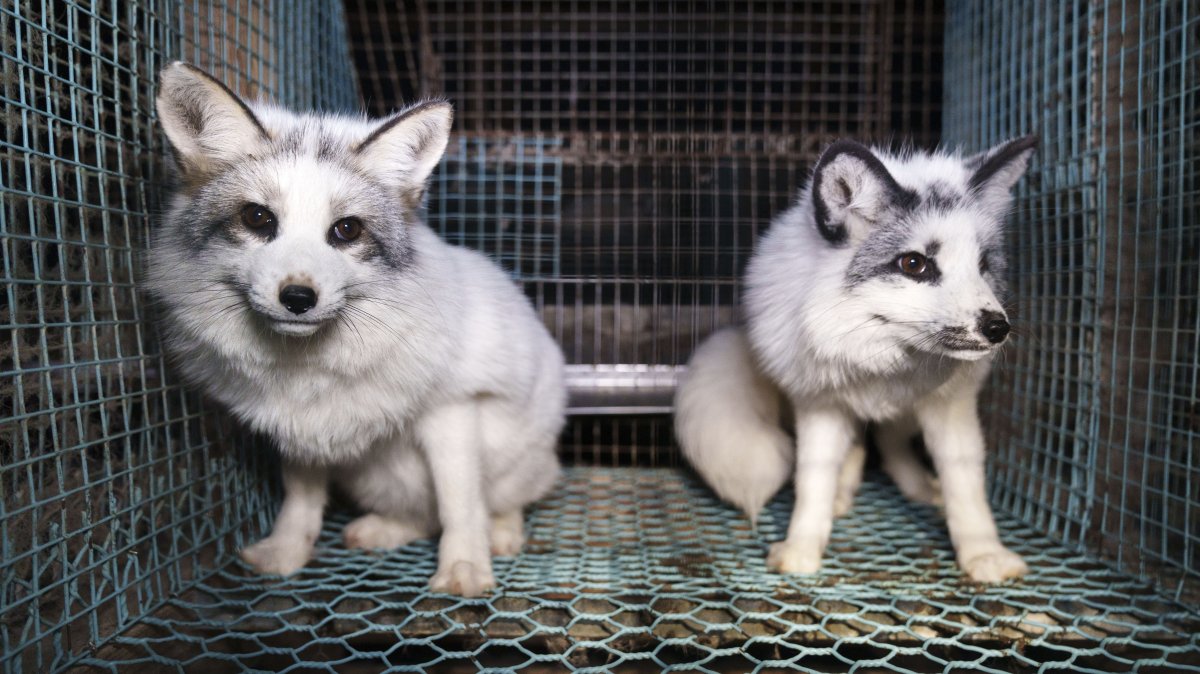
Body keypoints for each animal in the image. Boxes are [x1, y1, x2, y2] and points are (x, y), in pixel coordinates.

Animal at [145, 61, 566, 592]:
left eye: (346, 229)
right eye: (257, 218)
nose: (298, 298)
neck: (308, 365)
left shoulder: (453, 411)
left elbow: (460, 504)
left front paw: (464, 567)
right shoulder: (300, 430)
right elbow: (301, 501)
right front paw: (288, 551)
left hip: (517, 462)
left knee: (495, 502)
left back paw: (502, 533)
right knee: (421, 518)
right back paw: (382, 530)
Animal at [676, 133, 1041, 580]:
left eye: (983, 264)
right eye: (914, 263)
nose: (997, 328)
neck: (882, 360)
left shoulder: (950, 405)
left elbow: (965, 483)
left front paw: (983, 552)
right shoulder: (819, 404)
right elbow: (812, 478)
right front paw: (802, 546)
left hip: (907, 415)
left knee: (887, 441)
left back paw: (920, 488)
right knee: (858, 448)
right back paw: (842, 495)